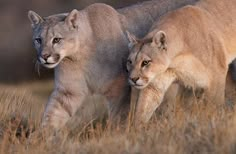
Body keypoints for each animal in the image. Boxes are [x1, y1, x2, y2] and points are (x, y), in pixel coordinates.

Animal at [27, 0, 199, 129]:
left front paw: (118, 135)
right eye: (38, 40)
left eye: (56, 39)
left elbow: (119, 116)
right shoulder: (68, 91)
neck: (78, 57)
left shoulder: (118, 87)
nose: (44, 56)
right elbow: (52, 115)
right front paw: (42, 139)